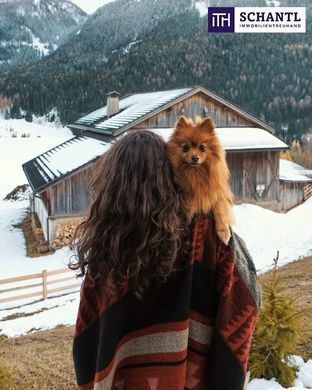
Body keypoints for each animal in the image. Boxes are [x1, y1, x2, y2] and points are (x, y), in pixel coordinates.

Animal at [168, 114, 234, 245]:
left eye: (202, 147)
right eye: (186, 147)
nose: (195, 157)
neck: (196, 173)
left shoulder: (219, 194)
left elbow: (220, 209)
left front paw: (224, 232)